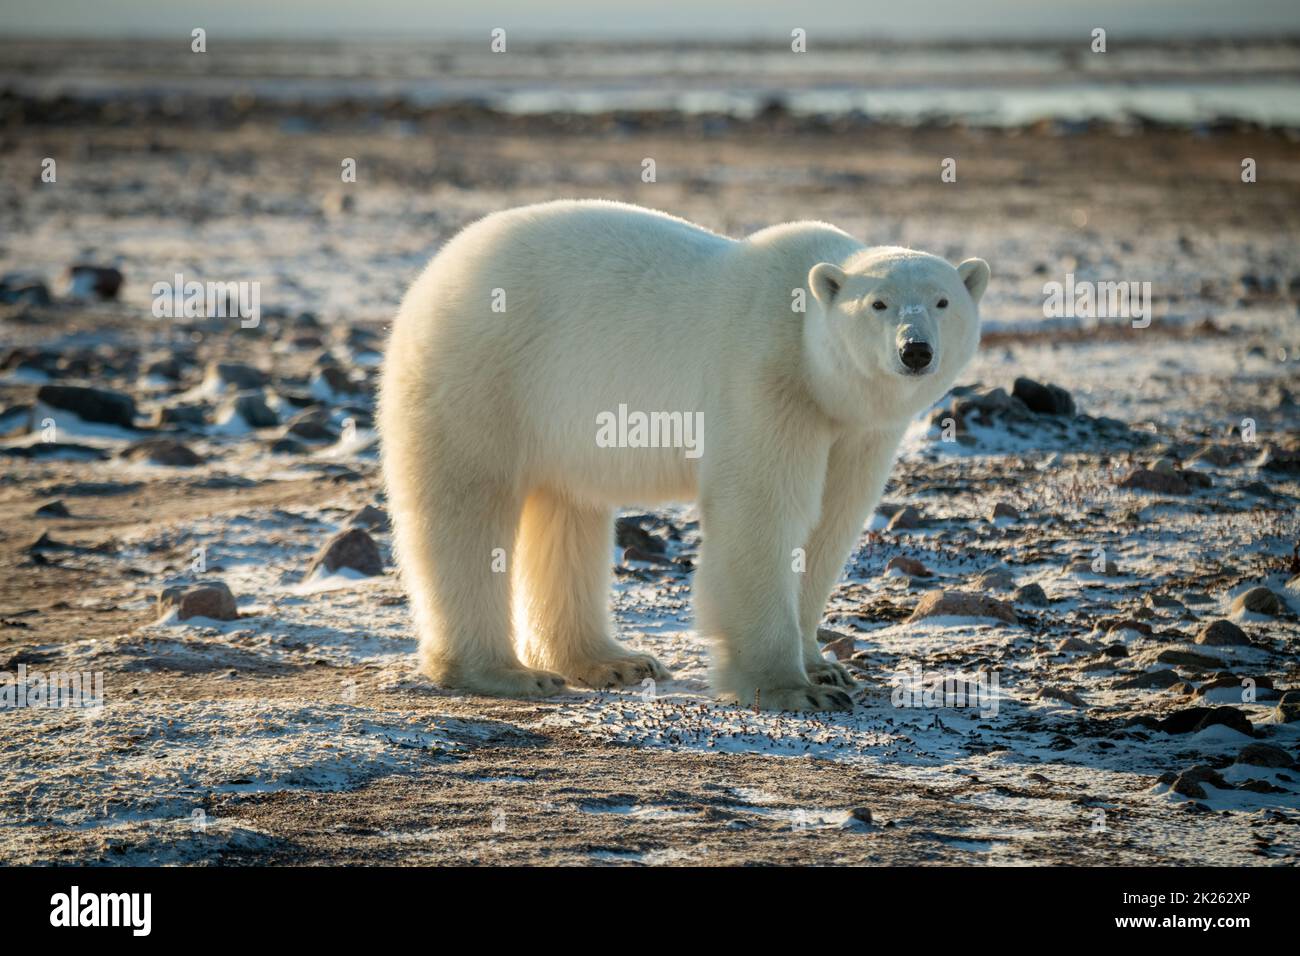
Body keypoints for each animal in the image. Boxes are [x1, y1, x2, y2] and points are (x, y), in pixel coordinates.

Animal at [379, 200, 987, 712]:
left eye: (943, 301)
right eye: (878, 304)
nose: (915, 350)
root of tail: (431, 277)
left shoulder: (856, 428)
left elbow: (831, 524)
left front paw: (825, 667)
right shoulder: (764, 379)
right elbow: (763, 515)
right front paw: (792, 688)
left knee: (567, 516)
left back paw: (612, 660)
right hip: (483, 371)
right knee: (466, 511)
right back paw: (505, 673)